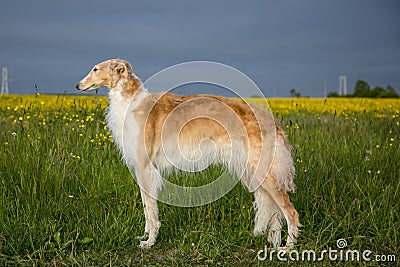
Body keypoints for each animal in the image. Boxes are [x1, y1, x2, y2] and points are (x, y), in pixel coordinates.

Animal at [76, 58, 300, 249]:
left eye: (95, 69)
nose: (77, 86)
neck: (131, 102)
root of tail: (272, 120)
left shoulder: (145, 168)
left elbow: (150, 211)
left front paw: (150, 242)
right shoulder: (143, 170)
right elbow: (147, 208)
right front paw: (144, 236)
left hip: (265, 174)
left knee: (292, 213)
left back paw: (287, 248)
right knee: (276, 215)